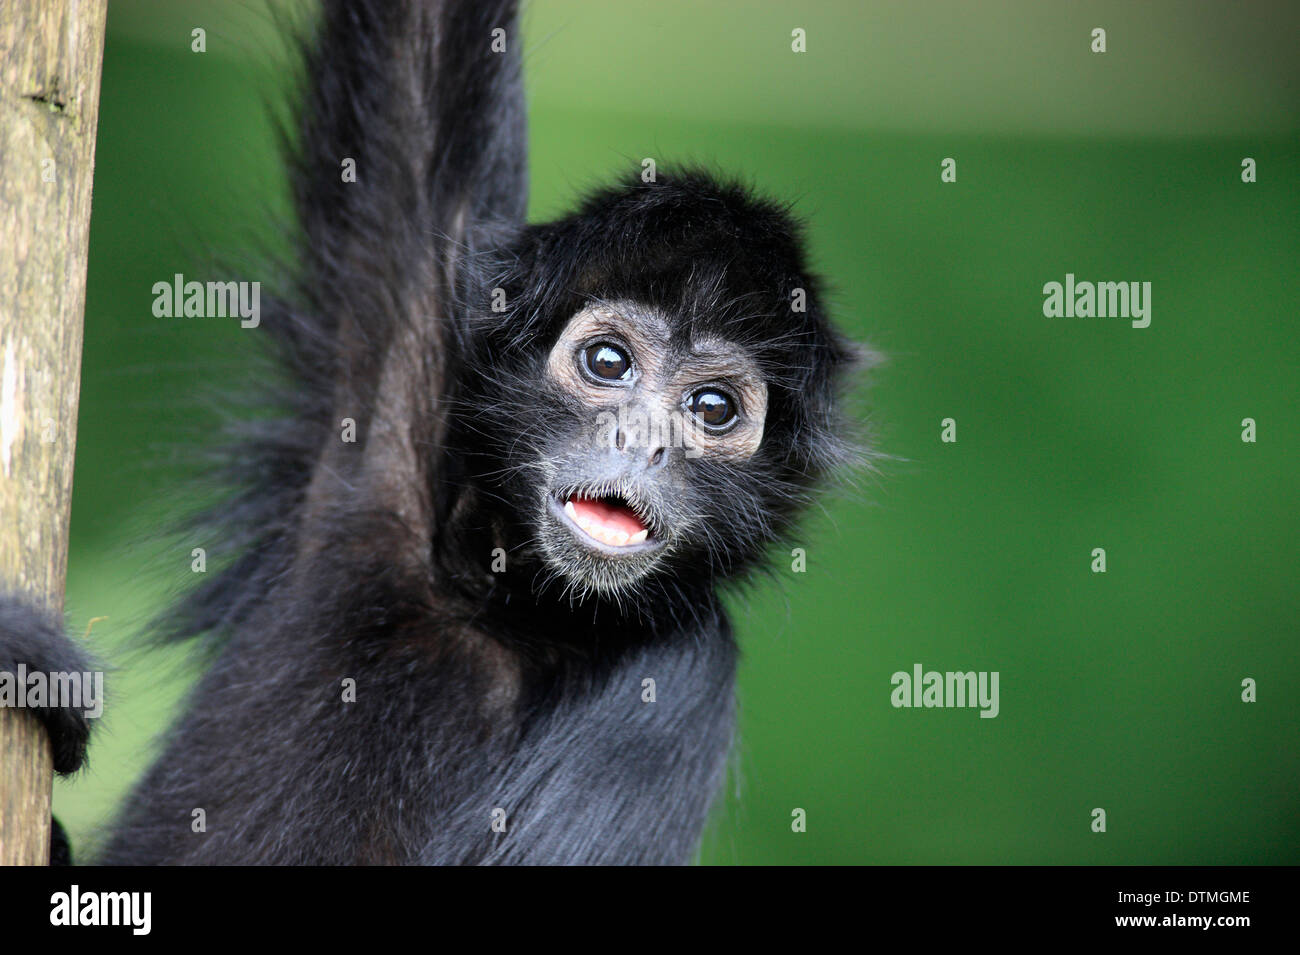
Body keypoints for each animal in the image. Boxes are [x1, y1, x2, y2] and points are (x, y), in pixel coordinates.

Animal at [0, 0, 857, 867]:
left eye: (712, 409)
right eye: (609, 362)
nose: (643, 437)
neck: (510, 608)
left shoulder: (685, 677)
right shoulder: (393, 409)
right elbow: (422, 47)